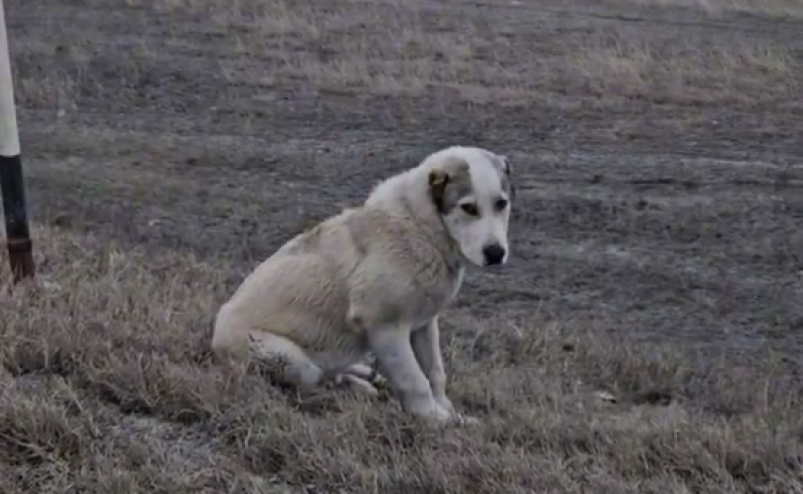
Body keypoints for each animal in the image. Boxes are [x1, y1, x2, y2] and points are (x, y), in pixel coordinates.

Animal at [212, 146, 516, 424]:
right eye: (469, 208)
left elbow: (435, 373)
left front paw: (449, 411)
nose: (495, 253)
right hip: (290, 360)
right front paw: (435, 419)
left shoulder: (424, 324)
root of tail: (215, 339)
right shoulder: (385, 327)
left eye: (501, 204)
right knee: (318, 378)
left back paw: (364, 376)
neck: (422, 225)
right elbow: (415, 380)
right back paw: (354, 385)